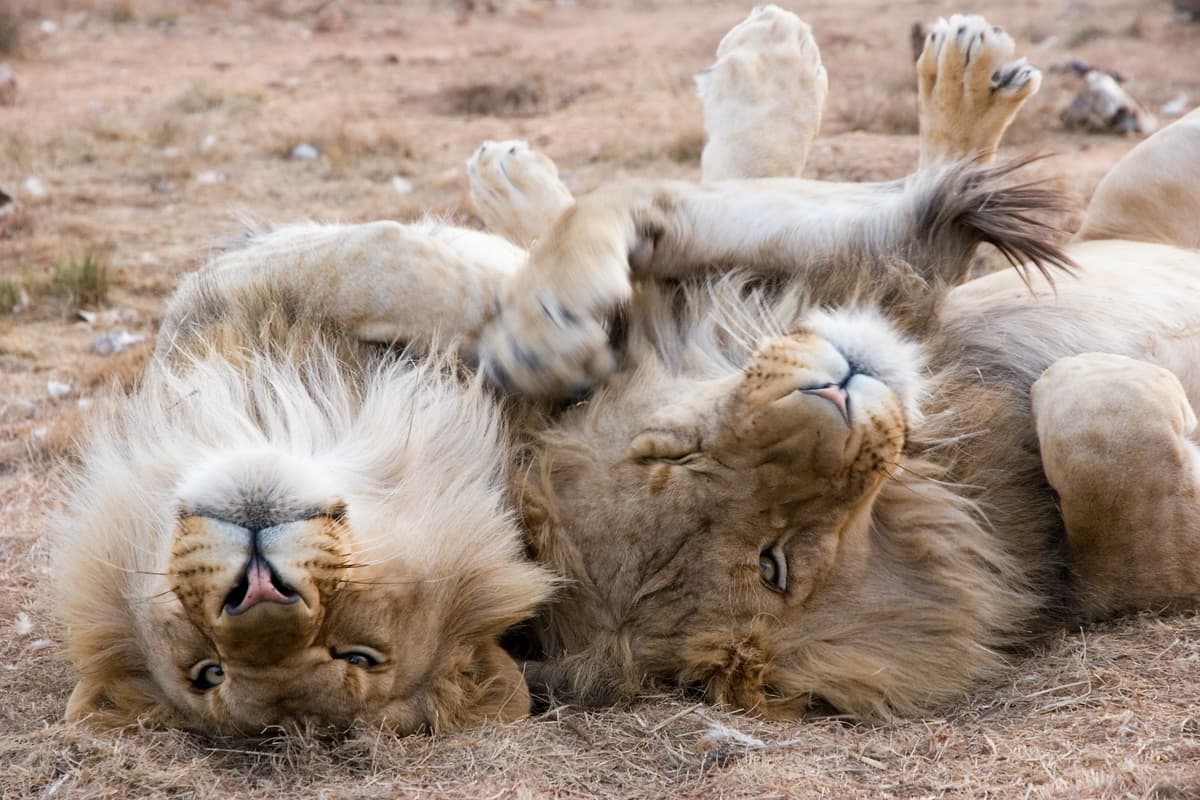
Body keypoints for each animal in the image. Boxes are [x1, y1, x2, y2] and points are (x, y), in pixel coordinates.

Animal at [467, 8, 1200, 717]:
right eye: (774, 565)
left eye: (670, 451)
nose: (836, 394)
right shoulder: (1087, 575)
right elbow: (1091, 422)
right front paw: (1116, 381)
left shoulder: (858, 262)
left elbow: (626, 201)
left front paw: (542, 331)